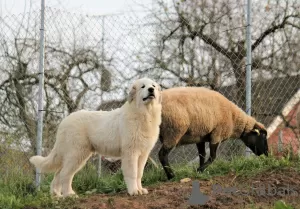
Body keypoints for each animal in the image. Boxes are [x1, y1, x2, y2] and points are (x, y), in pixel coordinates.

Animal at [29, 78, 162, 198]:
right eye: (143, 86)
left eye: (153, 86)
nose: (151, 90)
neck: (144, 114)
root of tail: (65, 121)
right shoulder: (131, 153)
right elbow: (133, 173)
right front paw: (134, 191)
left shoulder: (143, 154)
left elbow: (139, 173)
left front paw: (140, 190)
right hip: (76, 154)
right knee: (65, 174)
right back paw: (69, 194)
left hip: (73, 155)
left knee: (58, 173)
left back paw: (56, 195)